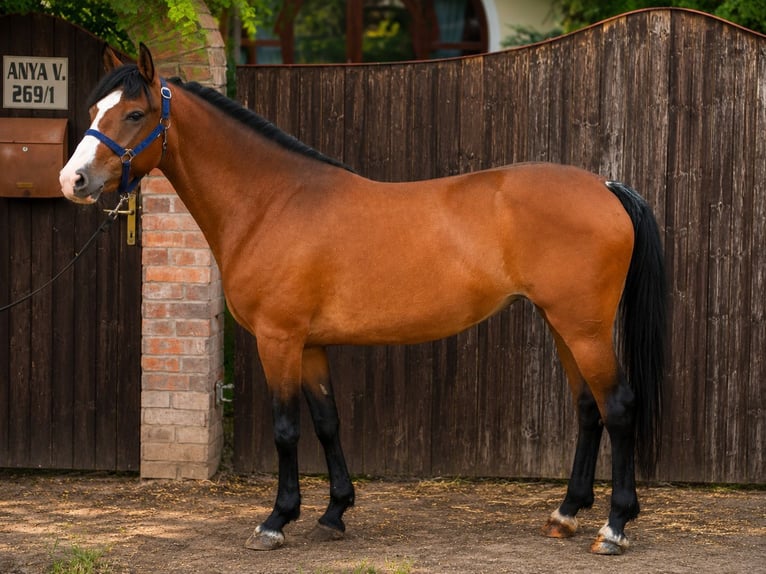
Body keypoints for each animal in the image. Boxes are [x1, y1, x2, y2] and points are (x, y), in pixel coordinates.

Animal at [59, 44, 667, 556]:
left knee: (617, 406)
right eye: (95, 108)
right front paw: (334, 513)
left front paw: (276, 521)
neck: (272, 201)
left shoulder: (279, 339)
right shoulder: (310, 345)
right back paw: (565, 515)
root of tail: (605, 188)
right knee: (588, 409)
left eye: (134, 114)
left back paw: (614, 527)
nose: (73, 180)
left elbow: (286, 429)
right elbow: (328, 422)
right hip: (562, 324)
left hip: (584, 328)